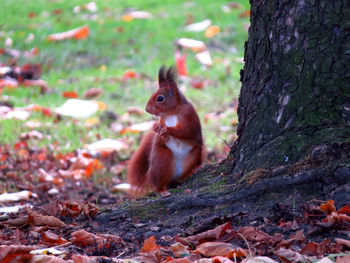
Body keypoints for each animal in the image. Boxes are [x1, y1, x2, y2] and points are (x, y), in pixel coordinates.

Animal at [128, 66, 205, 194]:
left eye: (160, 98)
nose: (147, 109)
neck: (171, 113)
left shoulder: (189, 117)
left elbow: (186, 131)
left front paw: (166, 129)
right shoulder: (162, 120)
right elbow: (160, 137)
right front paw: (156, 128)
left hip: (194, 156)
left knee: (182, 177)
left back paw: (191, 172)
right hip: (162, 160)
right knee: (159, 183)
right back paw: (162, 191)